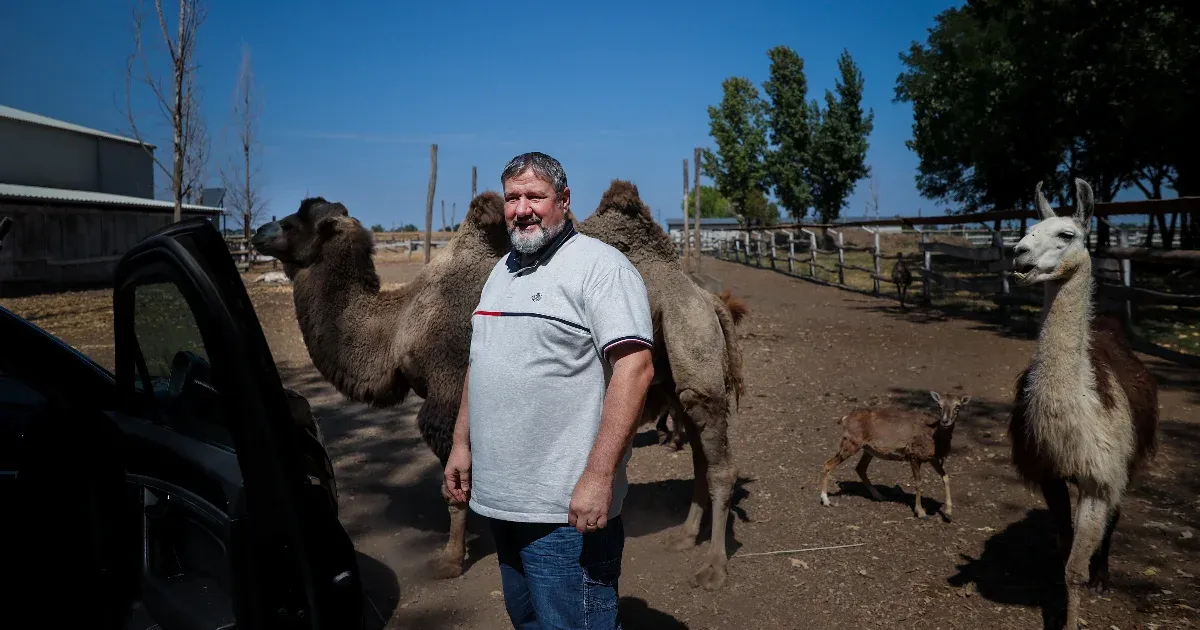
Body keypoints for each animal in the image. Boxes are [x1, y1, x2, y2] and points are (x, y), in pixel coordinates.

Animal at [253, 181, 748, 590]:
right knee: (701, 455)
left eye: (293, 223)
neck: (398, 329)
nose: (257, 232)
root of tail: (706, 297)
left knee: (719, 462)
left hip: (692, 343)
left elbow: (454, 490)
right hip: (675, 370)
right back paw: (684, 537)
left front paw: (449, 559)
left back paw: (714, 568)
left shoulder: (446, 398)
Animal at [1008, 176, 1156, 628]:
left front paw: (1074, 615)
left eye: (1066, 234)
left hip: (1127, 461)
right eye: (1029, 230)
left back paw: (1103, 575)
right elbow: (1065, 550)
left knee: (1117, 515)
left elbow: (1075, 568)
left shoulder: (1100, 476)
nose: (1017, 252)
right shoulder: (1049, 471)